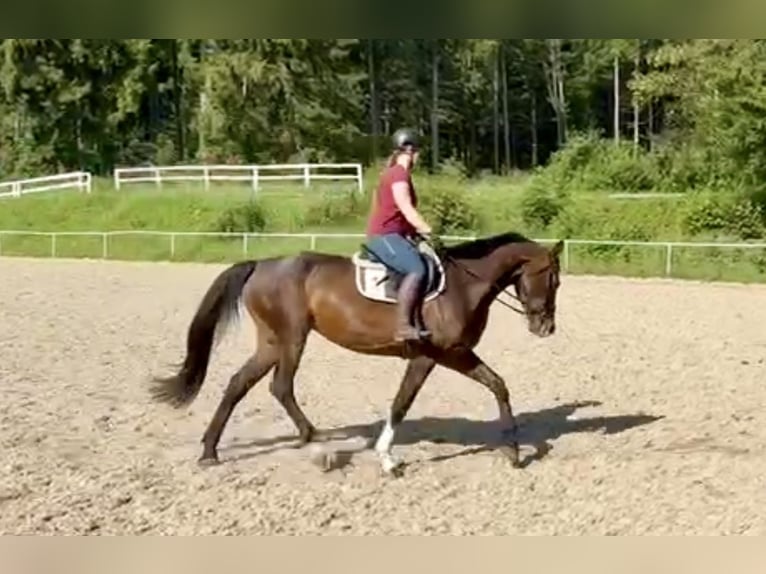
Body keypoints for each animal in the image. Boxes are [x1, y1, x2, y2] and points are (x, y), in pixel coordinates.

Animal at [150, 232, 564, 480]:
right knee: (280, 385)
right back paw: (312, 439)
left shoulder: (453, 354)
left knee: (240, 384)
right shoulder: (438, 355)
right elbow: (402, 403)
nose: (546, 328)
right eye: (553, 279)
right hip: (291, 338)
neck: (463, 285)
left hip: (271, 342)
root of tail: (262, 264)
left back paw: (211, 450)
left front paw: (513, 450)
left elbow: (498, 385)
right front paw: (387, 459)